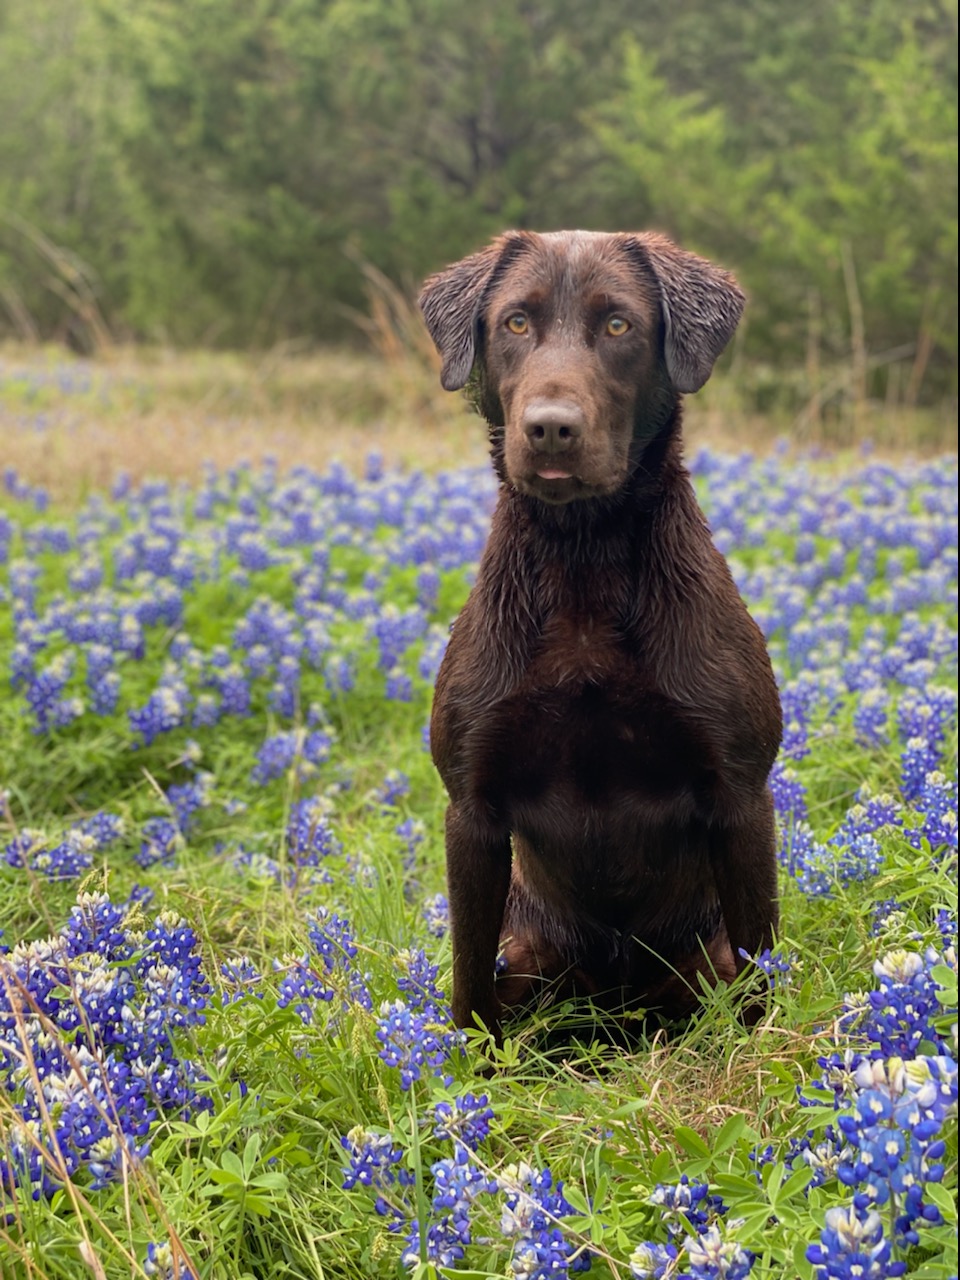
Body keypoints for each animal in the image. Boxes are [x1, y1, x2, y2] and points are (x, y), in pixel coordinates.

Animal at [419, 232, 783, 1049]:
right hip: (531, 951)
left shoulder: (741, 793)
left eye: (618, 325)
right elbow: (467, 988)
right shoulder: (472, 808)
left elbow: (762, 975)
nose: (551, 426)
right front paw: (467, 1073)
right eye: (516, 322)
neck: (582, 560)